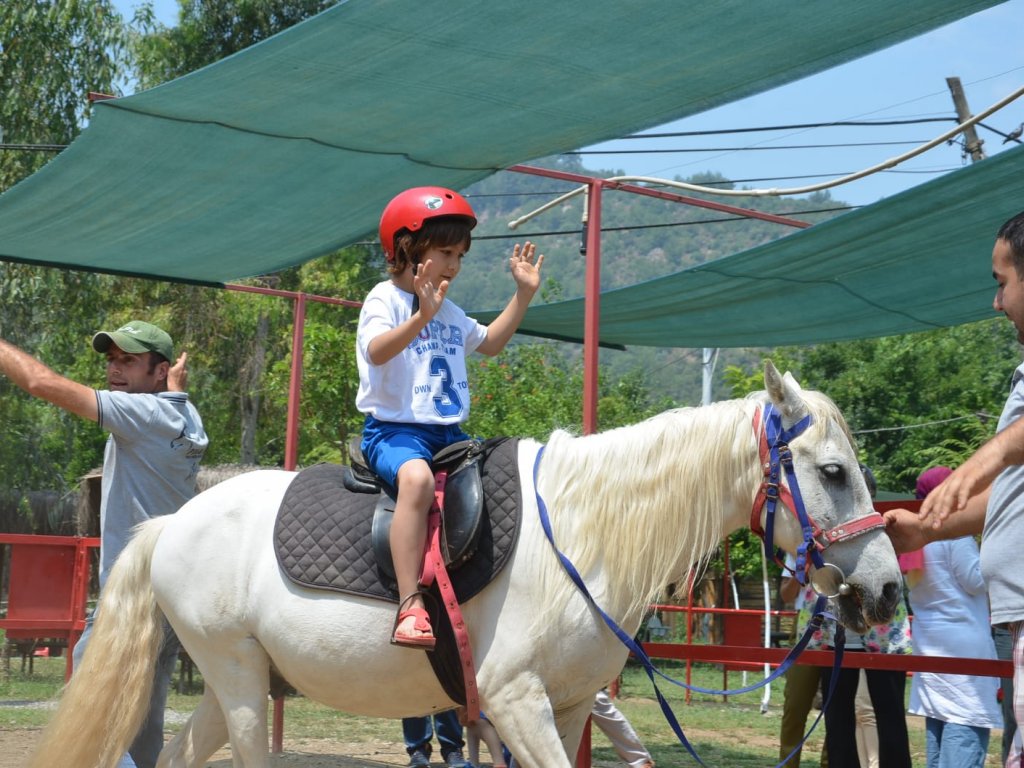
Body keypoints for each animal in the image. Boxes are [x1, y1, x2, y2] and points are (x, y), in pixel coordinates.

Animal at [29, 362, 897, 768]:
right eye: (831, 472)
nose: (887, 588)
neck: (580, 536)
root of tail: (172, 523)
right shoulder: (516, 702)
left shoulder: (567, 707)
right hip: (239, 683)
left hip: (230, 684)